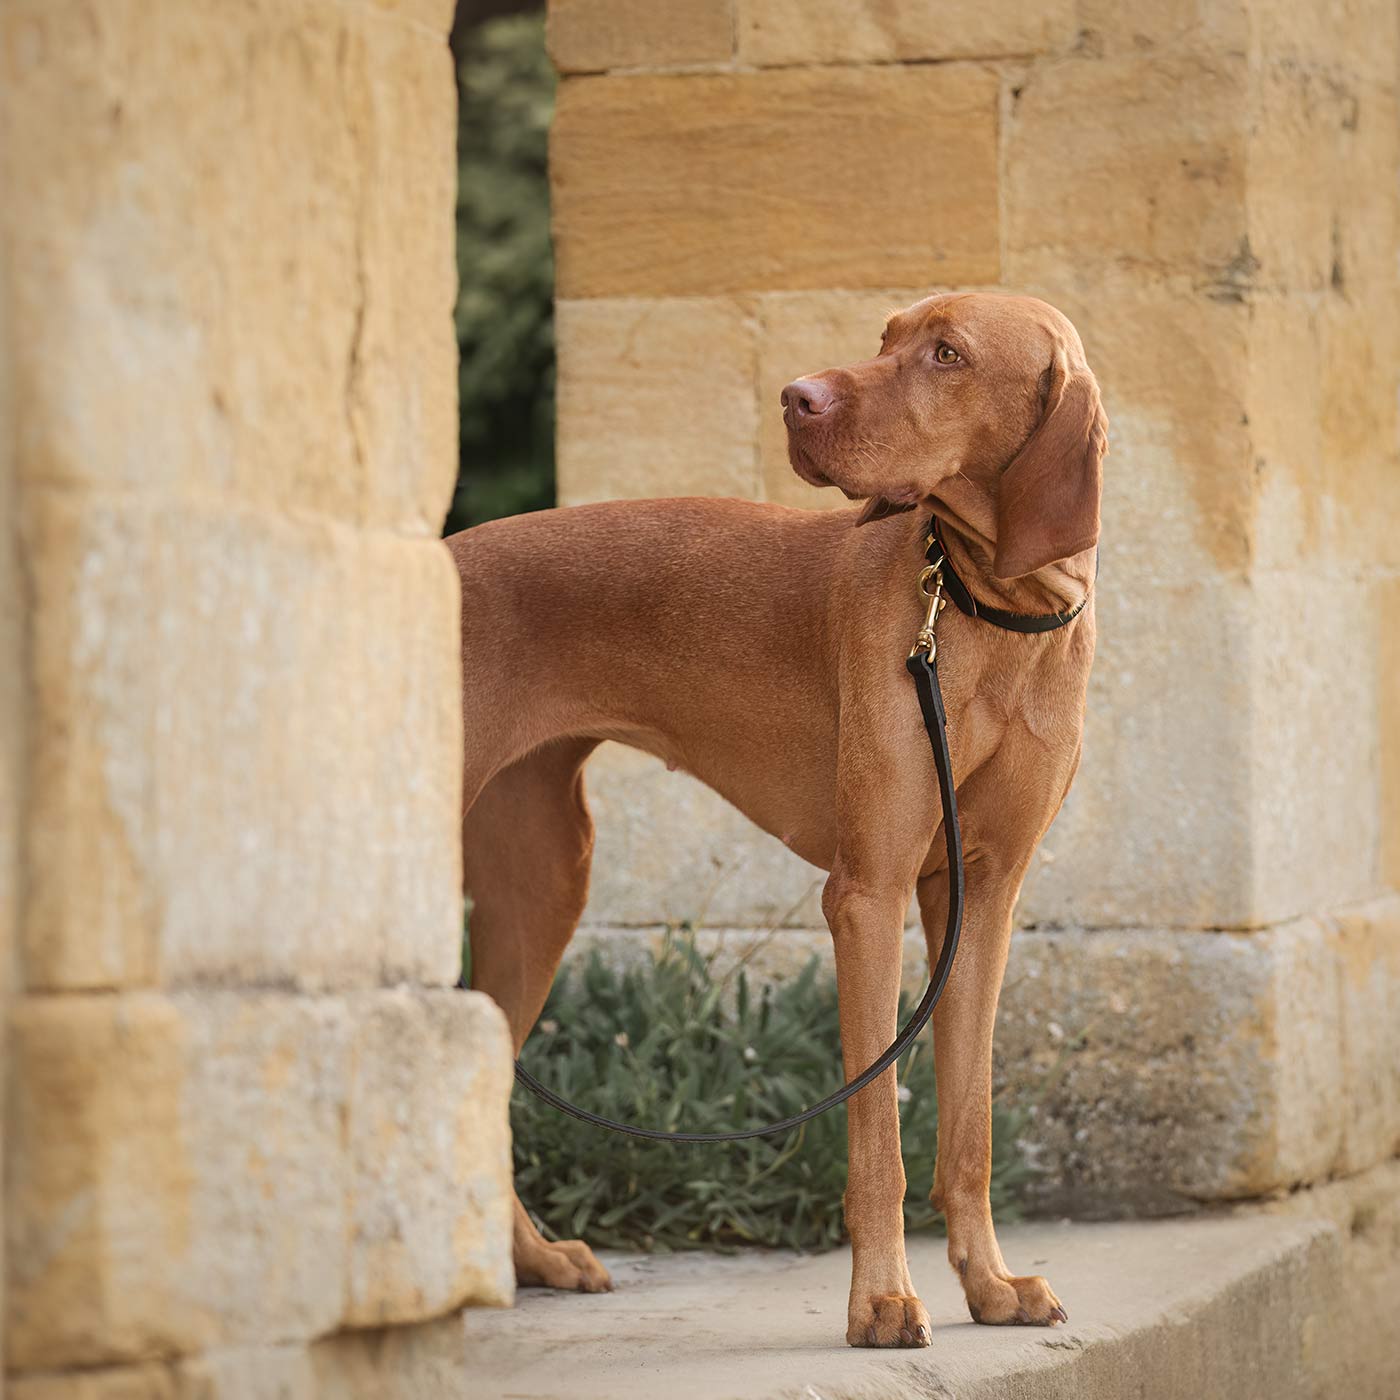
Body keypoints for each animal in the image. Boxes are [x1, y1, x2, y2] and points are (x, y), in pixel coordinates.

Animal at [448, 292, 1103, 1344]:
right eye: (886, 336)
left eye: (947, 354)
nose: (798, 397)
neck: (979, 612)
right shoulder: (869, 896)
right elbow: (880, 1135)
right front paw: (882, 1300)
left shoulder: (985, 900)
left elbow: (970, 1128)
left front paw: (990, 1284)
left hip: (541, 886)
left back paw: (531, 1260)